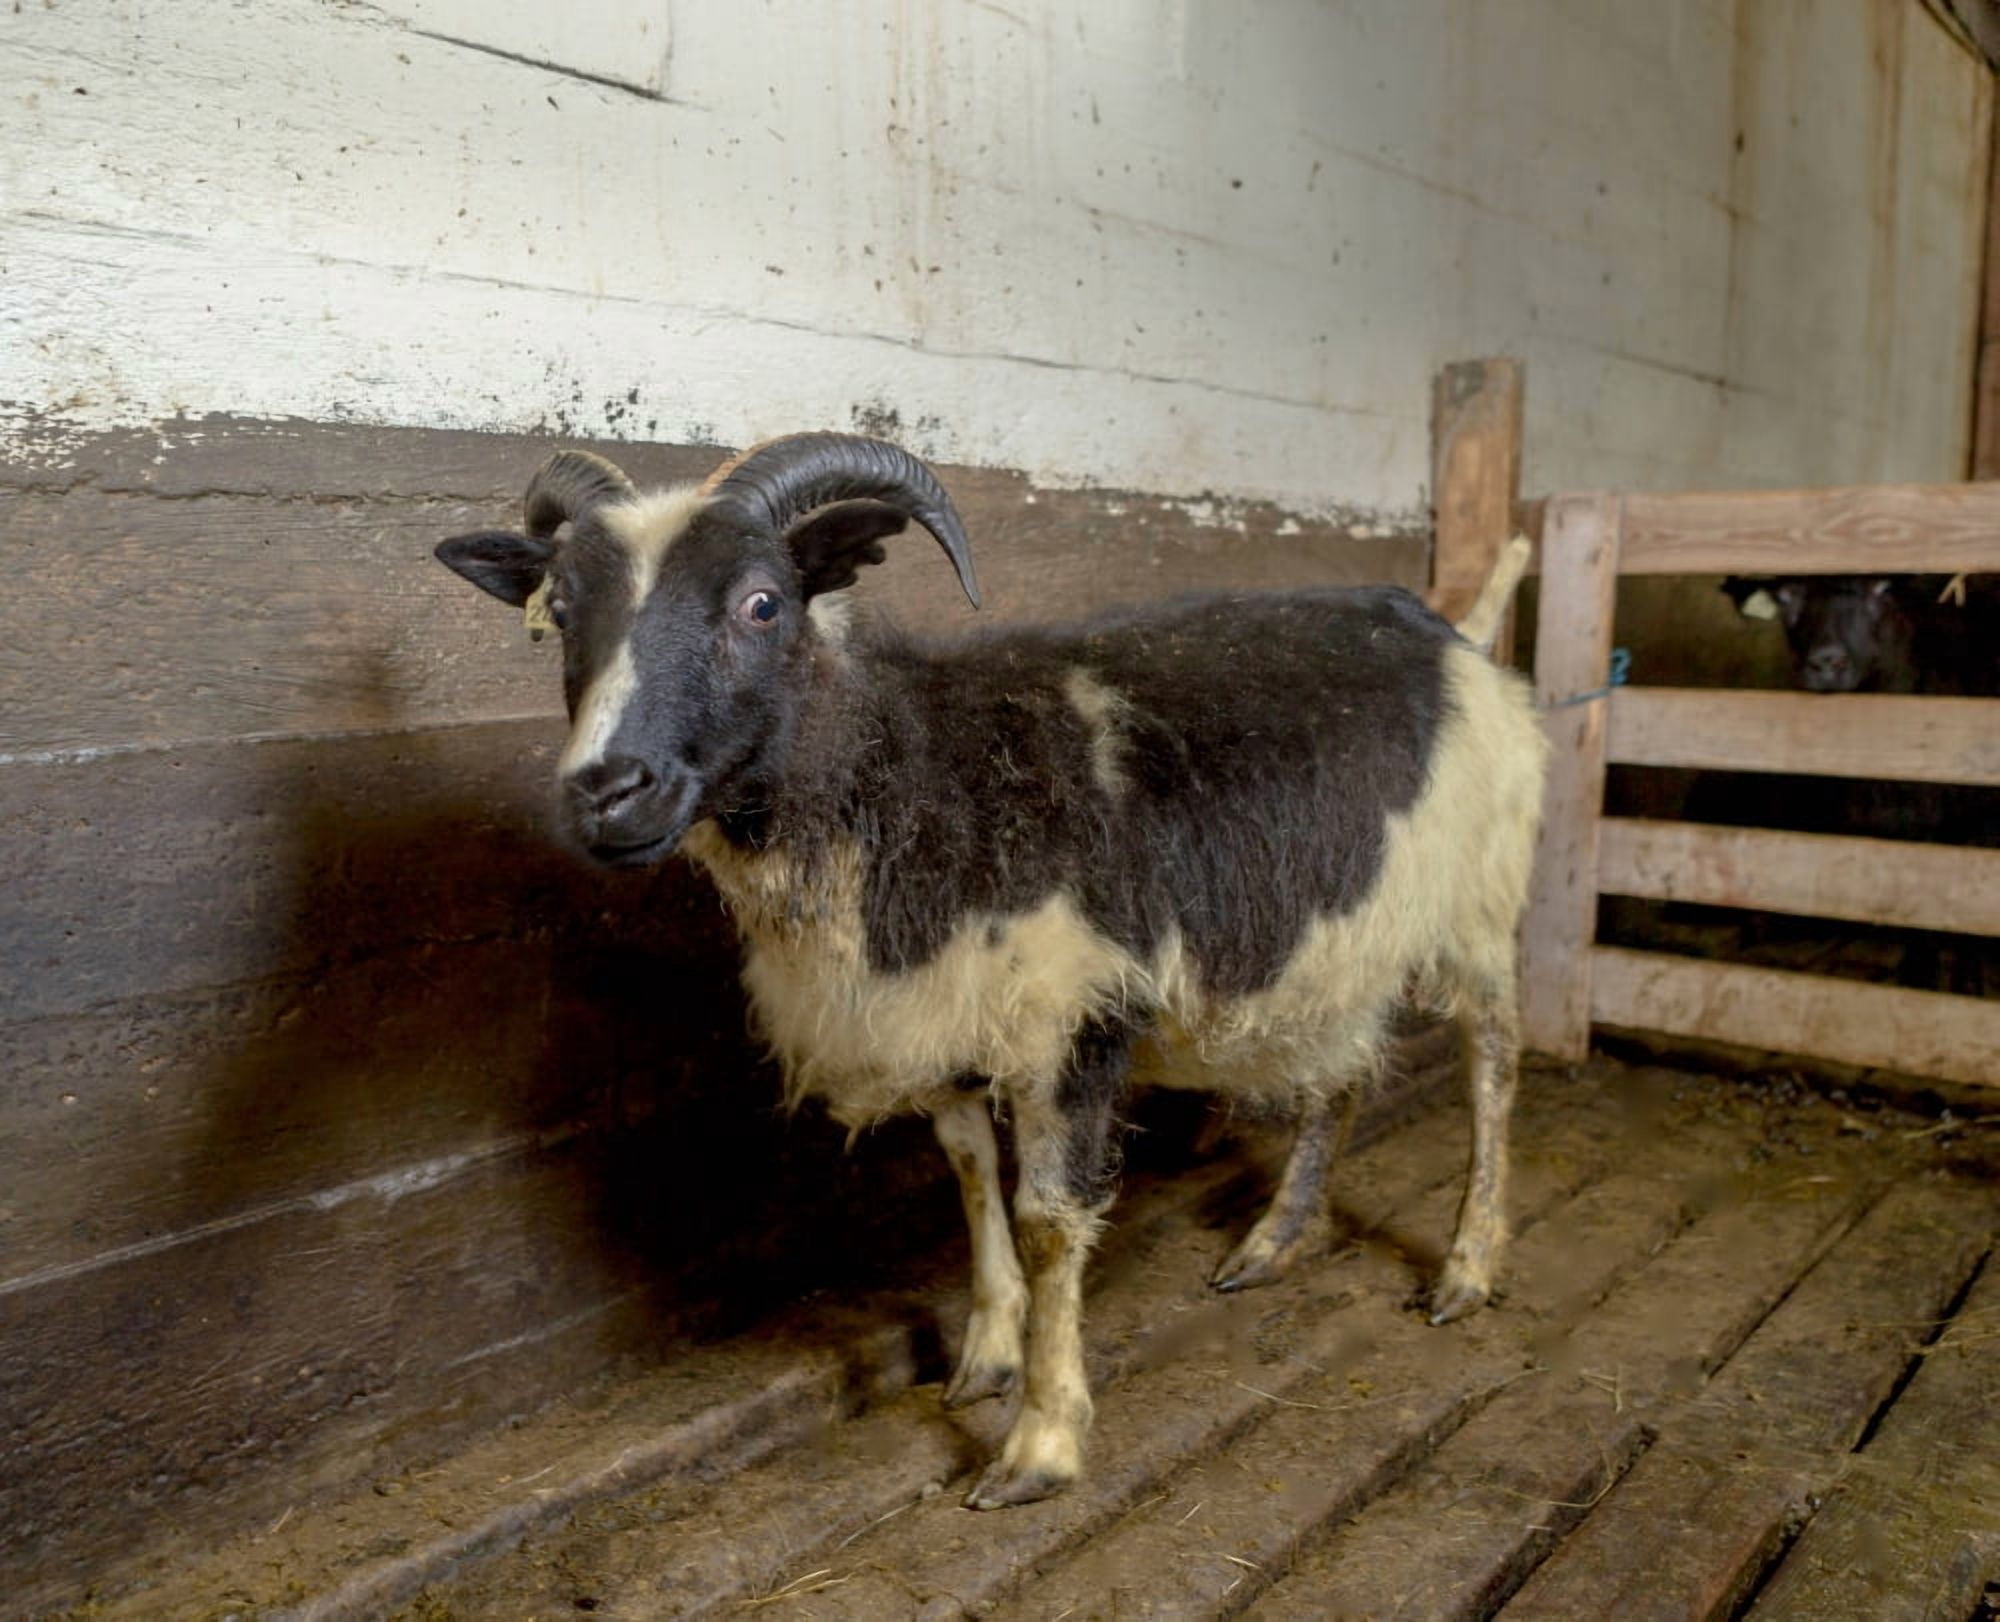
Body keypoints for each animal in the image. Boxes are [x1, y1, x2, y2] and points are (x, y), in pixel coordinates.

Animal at [434, 434, 1548, 1509]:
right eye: (558, 613)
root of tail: (1449, 632)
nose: (606, 791)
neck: (916, 775)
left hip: (1479, 903)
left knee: (1494, 1065)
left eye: (761, 602)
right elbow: (971, 1176)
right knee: (1341, 1076)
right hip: (1349, 937)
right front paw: (987, 1357)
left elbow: (1049, 1221)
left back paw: (1466, 1268)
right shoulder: (940, 1015)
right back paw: (1271, 1245)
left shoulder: (1076, 1015)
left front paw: (1039, 1446)